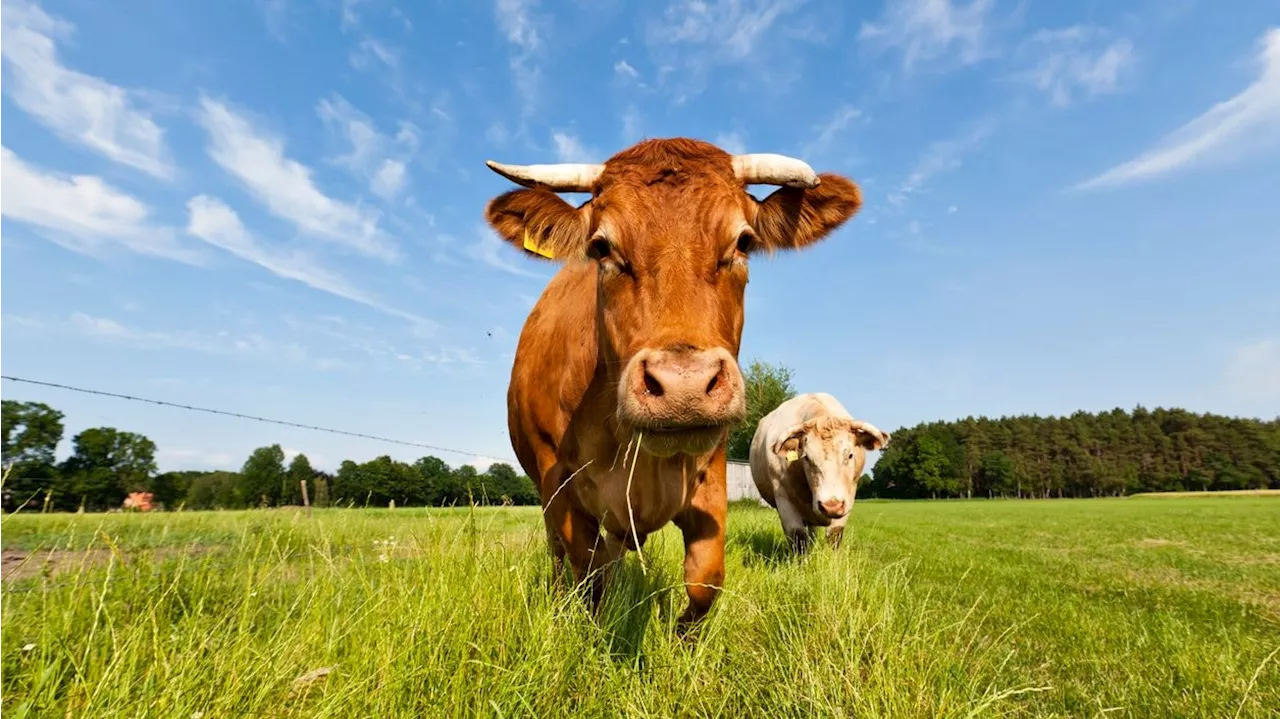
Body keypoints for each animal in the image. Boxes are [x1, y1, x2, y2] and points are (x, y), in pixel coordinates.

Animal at [483, 135, 865, 626]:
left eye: (744, 241)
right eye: (601, 247)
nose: (684, 387)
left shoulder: (711, 476)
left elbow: (704, 581)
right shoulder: (561, 487)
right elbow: (588, 579)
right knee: (563, 558)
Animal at [747, 391, 890, 547]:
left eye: (850, 455)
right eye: (806, 458)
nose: (831, 505)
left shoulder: (848, 499)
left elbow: (834, 535)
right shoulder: (783, 499)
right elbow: (797, 536)